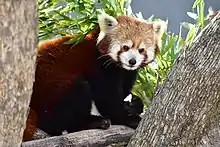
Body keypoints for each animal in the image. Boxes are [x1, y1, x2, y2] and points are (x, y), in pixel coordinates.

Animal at [22, 11, 165, 141]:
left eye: (141, 50)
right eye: (125, 47)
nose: (132, 61)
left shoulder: (128, 72)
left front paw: (133, 103)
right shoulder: (99, 66)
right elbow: (107, 99)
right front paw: (127, 118)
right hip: (52, 88)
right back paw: (92, 122)